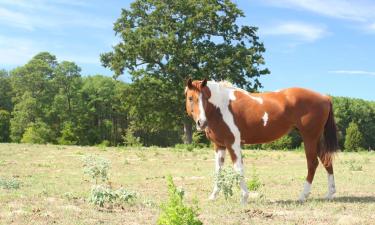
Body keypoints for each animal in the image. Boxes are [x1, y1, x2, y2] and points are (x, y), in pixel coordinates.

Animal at [185, 78, 340, 204]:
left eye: (205, 98)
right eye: (190, 98)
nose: (201, 123)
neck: (221, 107)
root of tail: (325, 97)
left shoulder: (232, 143)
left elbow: (238, 169)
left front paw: (244, 198)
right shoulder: (219, 145)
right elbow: (218, 170)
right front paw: (213, 196)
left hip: (309, 138)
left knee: (312, 163)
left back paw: (303, 196)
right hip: (316, 139)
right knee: (326, 160)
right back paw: (329, 194)